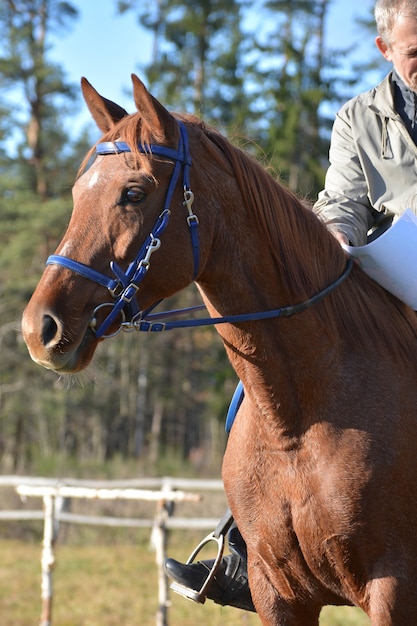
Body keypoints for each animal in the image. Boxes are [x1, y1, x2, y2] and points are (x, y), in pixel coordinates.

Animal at [20, 75, 417, 620]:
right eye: (80, 192)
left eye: (133, 193)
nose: (39, 327)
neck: (300, 422)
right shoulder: (278, 592)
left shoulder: (394, 591)